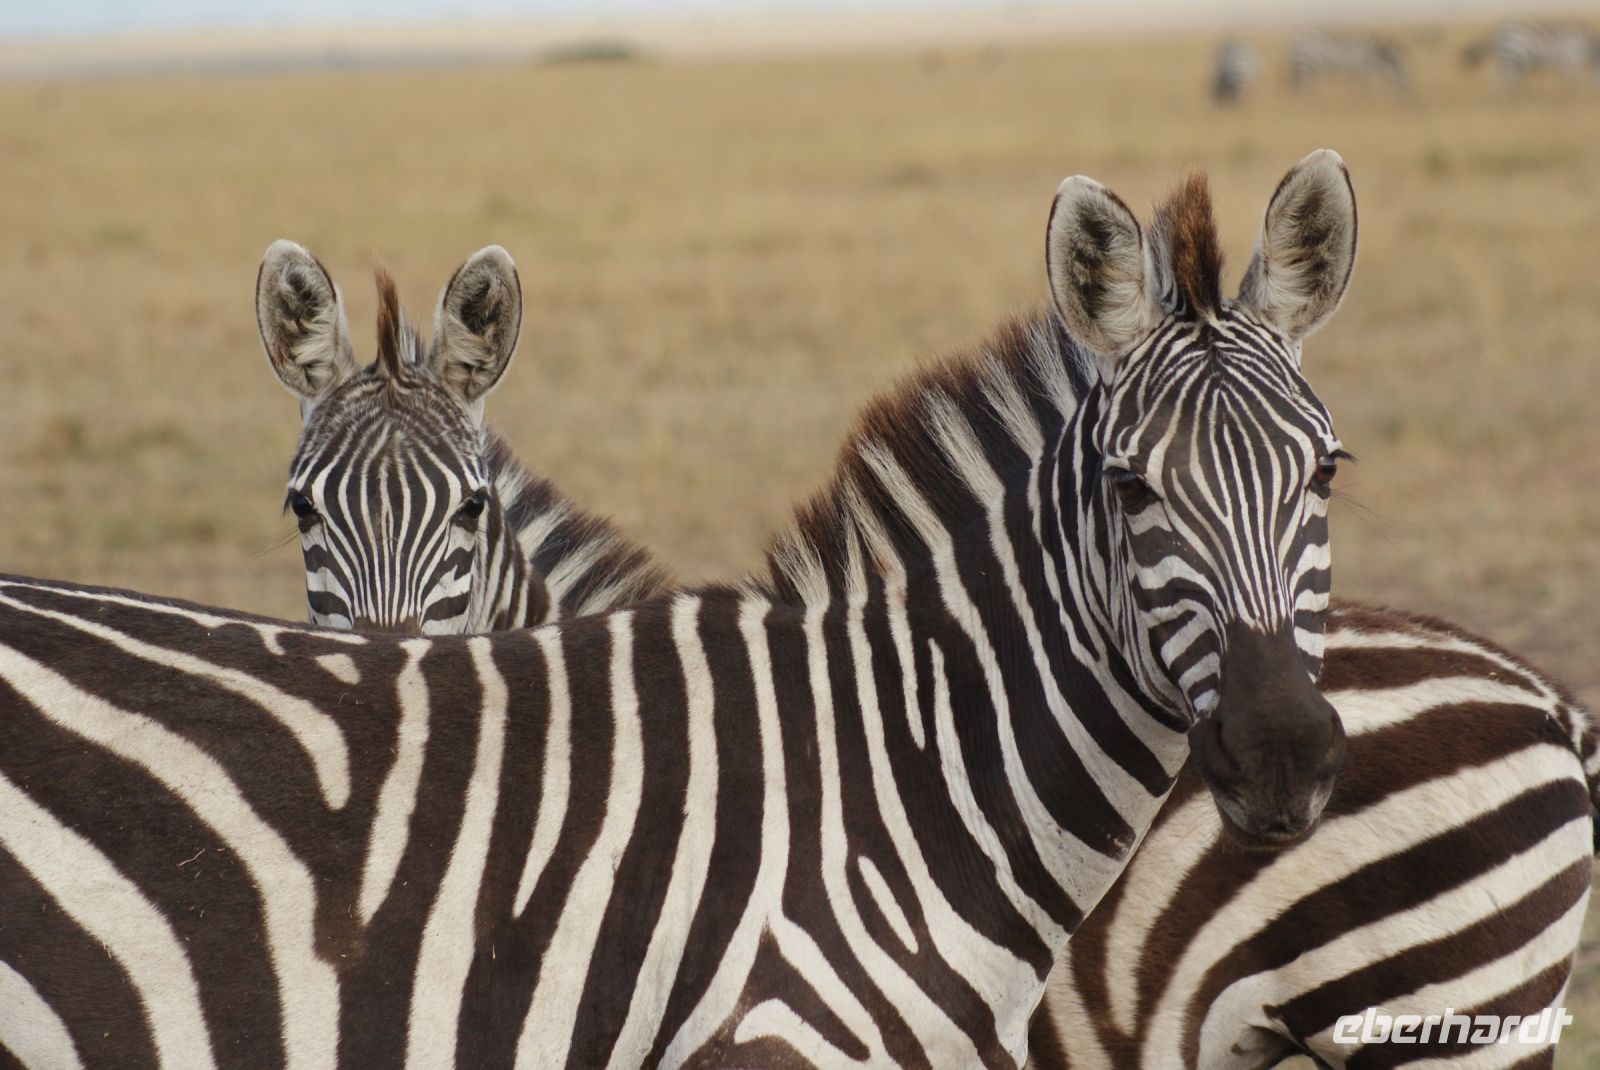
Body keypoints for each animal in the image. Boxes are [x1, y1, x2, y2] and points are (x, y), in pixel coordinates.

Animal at [1463, 22, 1600, 91]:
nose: (1595, 94)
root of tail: (1497, 33)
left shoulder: (1567, 60)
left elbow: (1569, 79)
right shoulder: (1570, 58)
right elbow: (1571, 80)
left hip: (1505, 58)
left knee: (1498, 79)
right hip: (1511, 55)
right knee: (1505, 80)